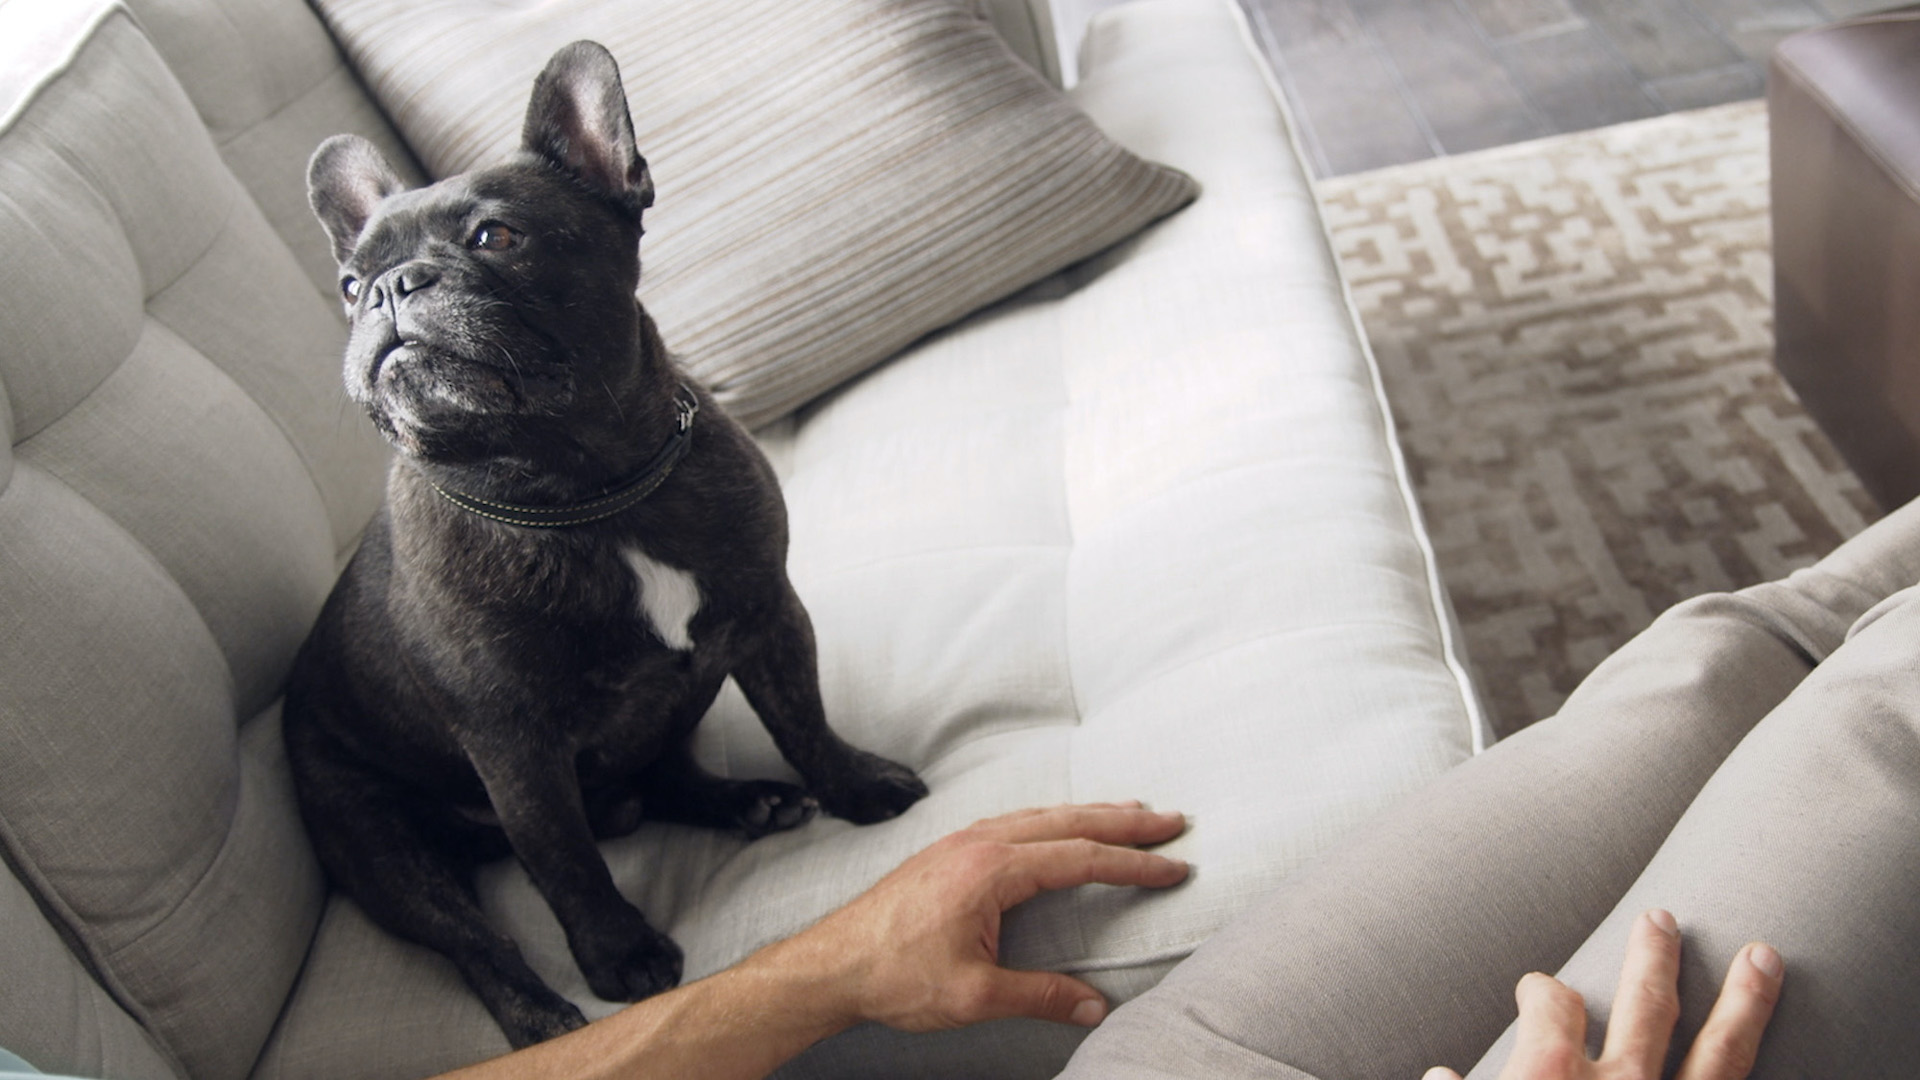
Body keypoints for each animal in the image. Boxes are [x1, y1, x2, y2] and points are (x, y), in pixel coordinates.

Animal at [282, 39, 929, 1045]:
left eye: (494, 238)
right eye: (349, 288)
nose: (388, 288)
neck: (583, 495)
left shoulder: (768, 613)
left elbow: (803, 717)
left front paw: (853, 785)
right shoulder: (513, 746)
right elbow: (563, 860)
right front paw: (620, 956)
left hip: (679, 702)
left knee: (661, 774)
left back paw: (743, 798)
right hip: (375, 838)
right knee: (474, 937)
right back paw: (539, 1015)